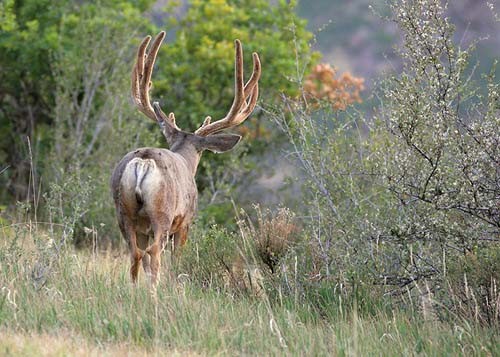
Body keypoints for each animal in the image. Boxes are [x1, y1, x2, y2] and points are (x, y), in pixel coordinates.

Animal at [110, 32, 262, 286]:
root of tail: (144, 161)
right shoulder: (185, 222)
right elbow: (177, 261)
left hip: (124, 213)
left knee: (135, 254)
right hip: (162, 214)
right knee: (154, 253)